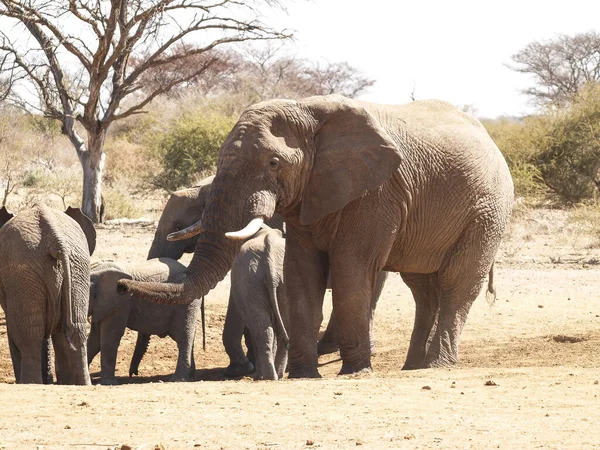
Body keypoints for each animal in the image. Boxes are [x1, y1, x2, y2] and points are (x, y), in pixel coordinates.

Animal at [0, 204, 95, 384]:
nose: (49, 379)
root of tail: (56, 240)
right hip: (78, 267)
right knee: (75, 331)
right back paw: (81, 385)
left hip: (24, 273)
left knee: (29, 337)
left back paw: (30, 384)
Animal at [120, 96, 510, 380]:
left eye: (274, 163)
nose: (123, 285)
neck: (307, 110)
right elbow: (301, 270)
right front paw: (303, 374)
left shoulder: (376, 193)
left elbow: (350, 268)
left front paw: (355, 372)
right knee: (422, 288)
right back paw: (412, 366)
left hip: (487, 211)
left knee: (457, 283)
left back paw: (436, 365)